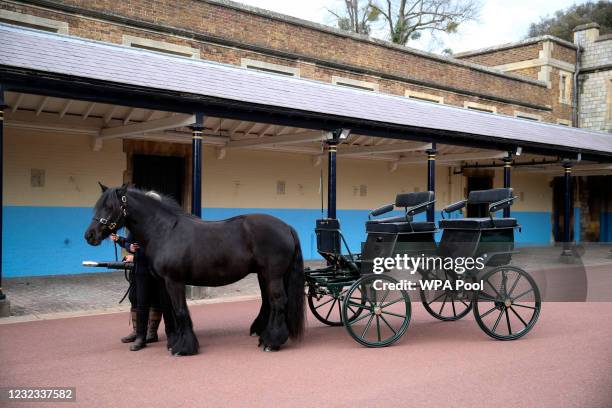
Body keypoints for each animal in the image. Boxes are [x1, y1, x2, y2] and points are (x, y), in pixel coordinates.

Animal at [85, 184, 304, 354]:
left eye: (110, 207)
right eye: (98, 206)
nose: (90, 235)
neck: (165, 231)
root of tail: (286, 227)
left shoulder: (174, 281)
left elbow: (181, 311)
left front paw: (184, 348)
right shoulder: (163, 283)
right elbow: (170, 312)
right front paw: (174, 342)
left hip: (272, 275)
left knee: (278, 302)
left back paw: (271, 342)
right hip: (264, 275)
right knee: (269, 303)